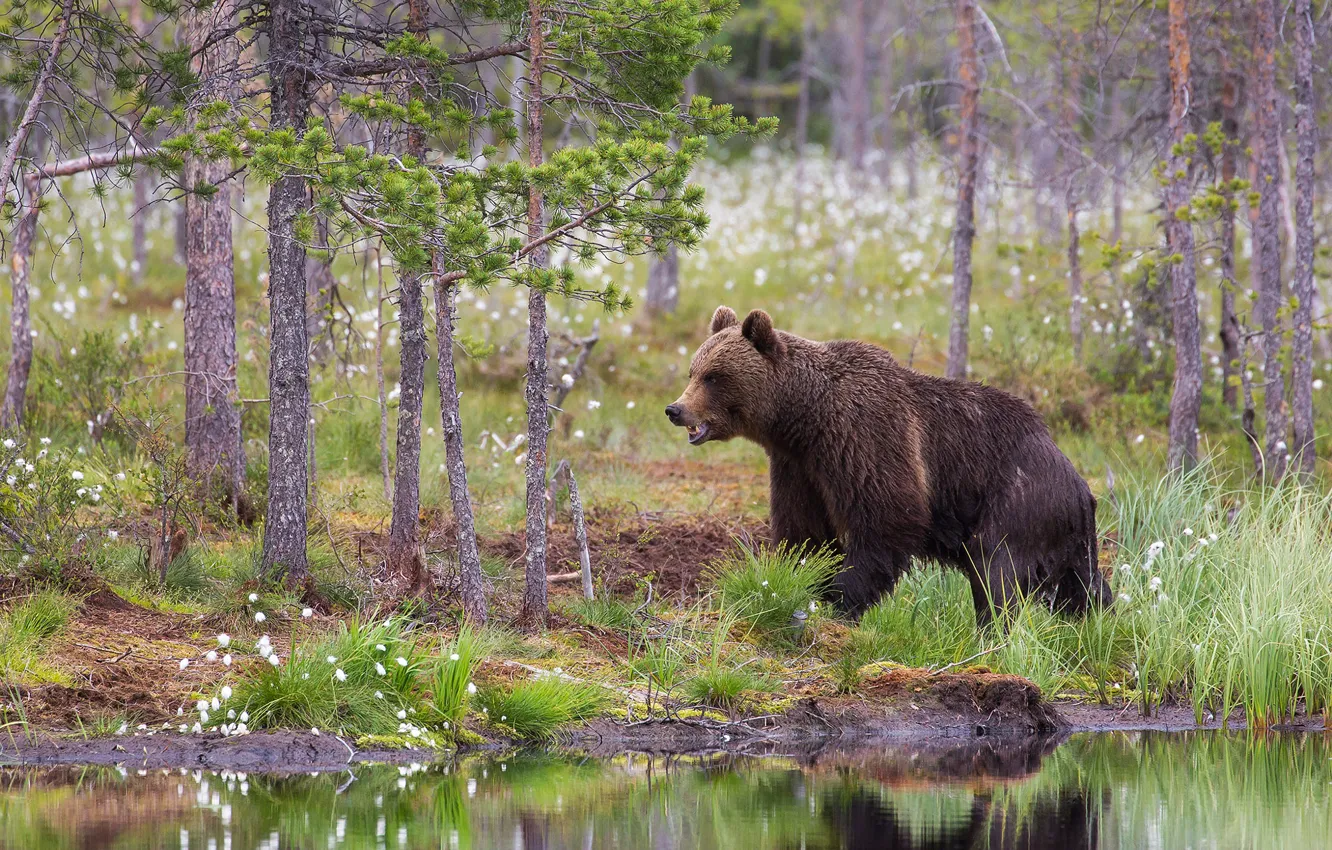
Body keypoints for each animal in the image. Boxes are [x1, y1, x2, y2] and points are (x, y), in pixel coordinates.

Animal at [665, 306, 1110, 623]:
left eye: (714, 376)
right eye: (693, 371)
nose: (675, 409)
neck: (805, 419)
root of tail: (1073, 474)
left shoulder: (867, 438)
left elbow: (887, 518)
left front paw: (838, 599)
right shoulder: (800, 467)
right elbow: (804, 531)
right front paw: (802, 580)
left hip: (1017, 500)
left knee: (996, 572)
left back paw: (993, 630)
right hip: (1067, 533)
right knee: (1083, 585)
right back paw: (1096, 621)